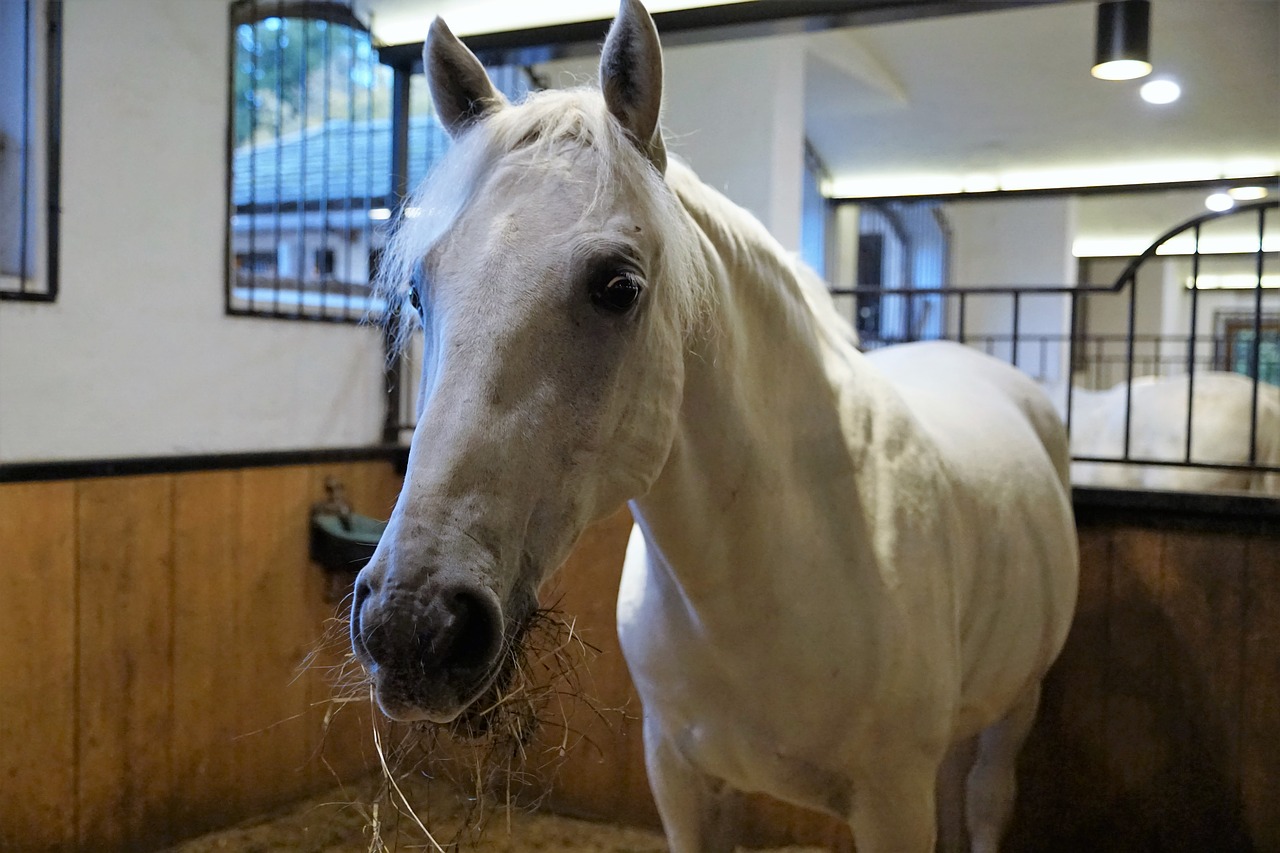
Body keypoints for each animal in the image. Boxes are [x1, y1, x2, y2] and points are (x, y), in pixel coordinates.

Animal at [350, 3, 1080, 845]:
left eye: (619, 286)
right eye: (417, 290)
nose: (410, 625)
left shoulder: (894, 801)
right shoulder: (682, 777)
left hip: (1016, 705)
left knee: (987, 798)